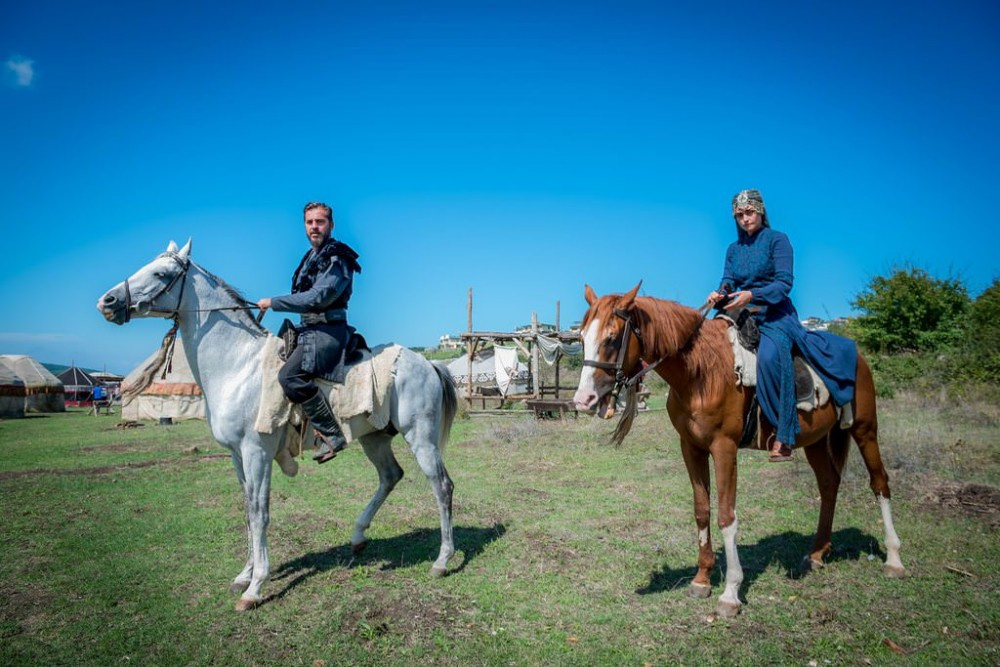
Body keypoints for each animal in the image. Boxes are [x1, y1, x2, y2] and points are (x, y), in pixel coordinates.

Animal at [97, 243, 458, 612]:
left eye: (160, 273)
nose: (108, 302)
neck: (238, 366)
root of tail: (427, 363)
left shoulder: (256, 452)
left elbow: (260, 512)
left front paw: (255, 587)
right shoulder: (237, 456)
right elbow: (246, 509)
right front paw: (244, 574)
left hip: (420, 437)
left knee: (441, 486)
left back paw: (442, 561)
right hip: (374, 438)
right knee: (390, 476)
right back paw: (358, 536)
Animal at [572, 284, 908, 620]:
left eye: (612, 338)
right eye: (582, 338)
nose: (583, 400)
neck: (701, 372)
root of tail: (857, 355)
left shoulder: (724, 448)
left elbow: (726, 516)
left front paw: (730, 593)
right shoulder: (691, 448)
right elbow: (702, 510)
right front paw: (701, 579)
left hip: (865, 429)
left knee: (880, 483)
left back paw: (893, 559)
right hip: (815, 440)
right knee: (829, 485)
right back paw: (816, 554)